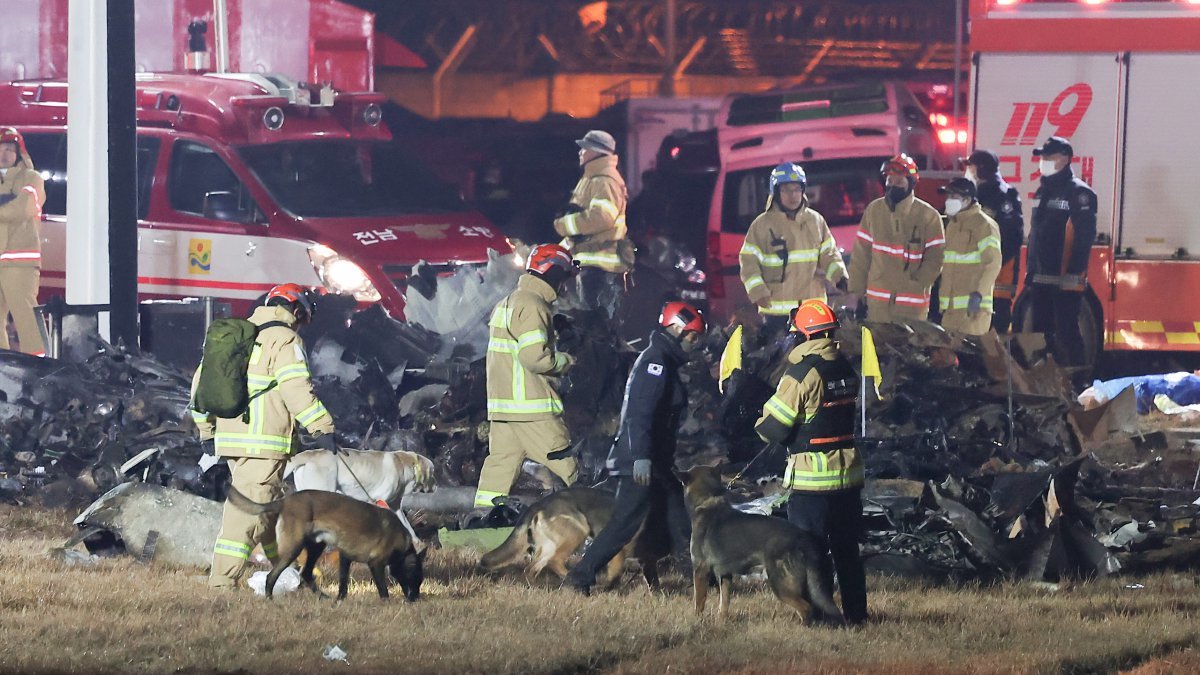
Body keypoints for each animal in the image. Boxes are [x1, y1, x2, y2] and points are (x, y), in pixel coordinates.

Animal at [225, 482, 427, 598]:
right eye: (416, 578)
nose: (415, 600)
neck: (402, 545)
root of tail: (285, 500)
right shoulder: (375, 564)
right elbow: (383, 589)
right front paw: (386, 602)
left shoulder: (345, 556)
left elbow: (343, 583)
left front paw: (340, 601)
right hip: (294, 548)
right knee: (271, 576)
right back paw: (269, 598)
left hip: (316, 546)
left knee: (306, 574)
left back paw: (322, 597)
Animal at [681, 466, 840, 624]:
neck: (707, 501)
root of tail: (802, 537)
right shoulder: (725, 575)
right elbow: (723, 604)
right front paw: (721, 622)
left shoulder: (700, 570)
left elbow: (698, 602)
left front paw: (696, 621)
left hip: (779, 584)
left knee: (806, 608)